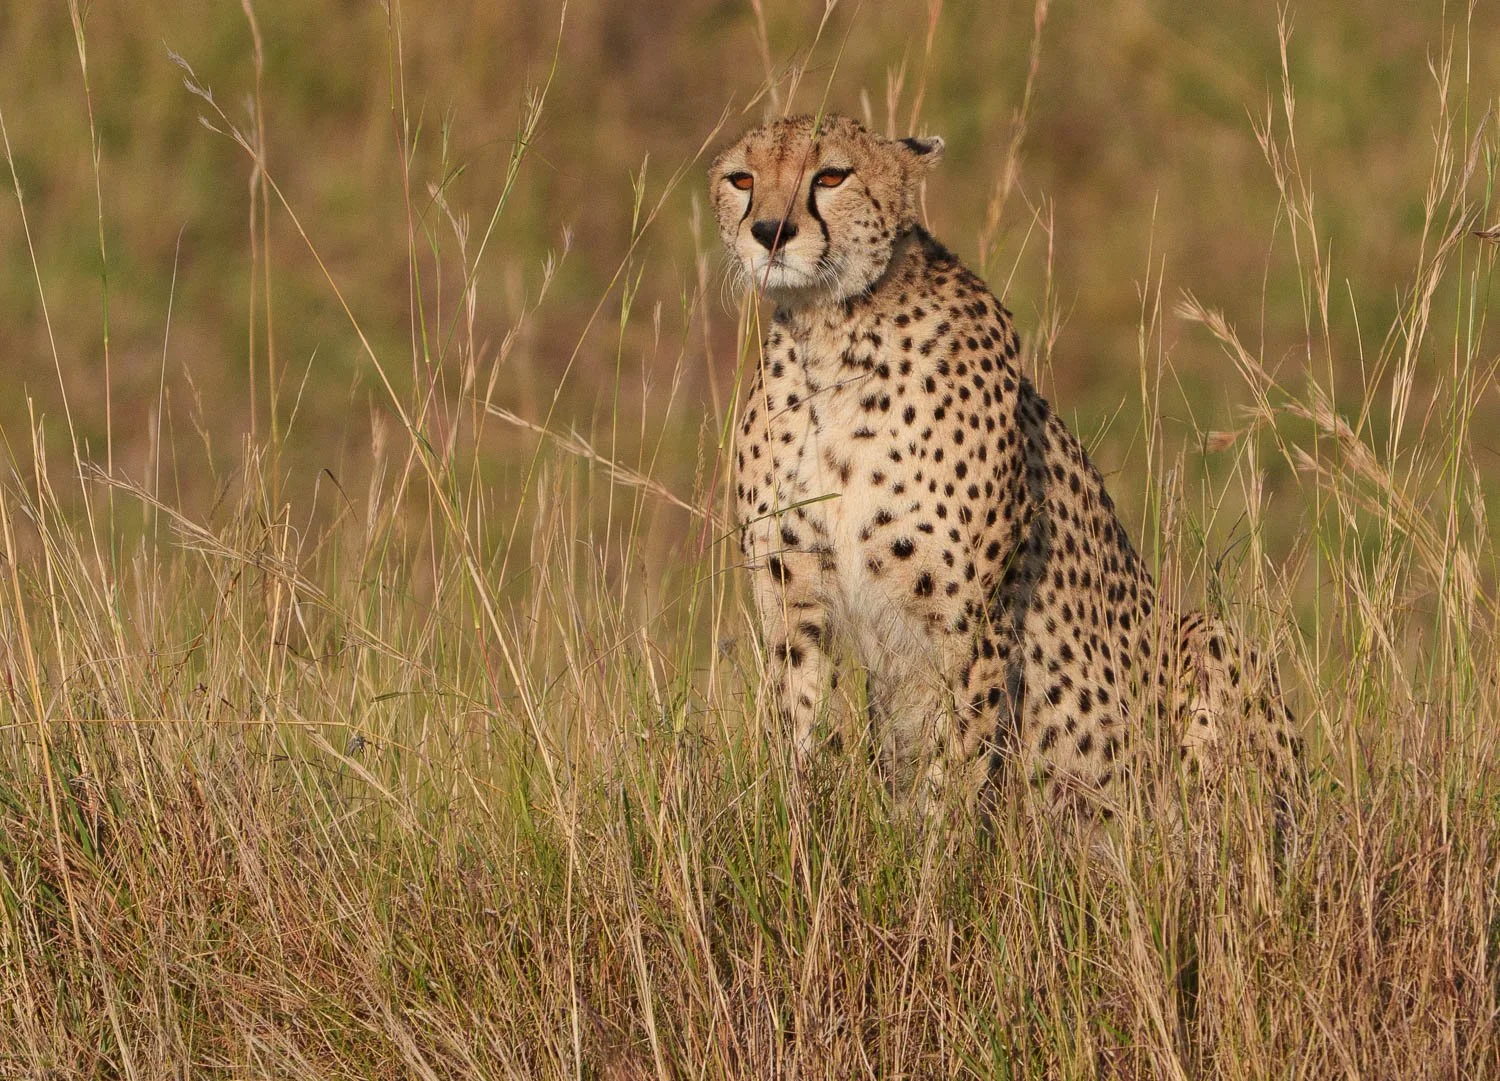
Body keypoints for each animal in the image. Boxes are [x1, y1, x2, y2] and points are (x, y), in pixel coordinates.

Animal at [711, 113, 1302, 819]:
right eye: (740, 179)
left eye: (831, 176)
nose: (769, 232)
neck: (832, 337)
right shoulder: (791, 597)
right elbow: (796, 728)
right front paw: (797, 829)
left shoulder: (969, 619)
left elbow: (952, 769)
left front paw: (931, 850)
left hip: (1205, 644)